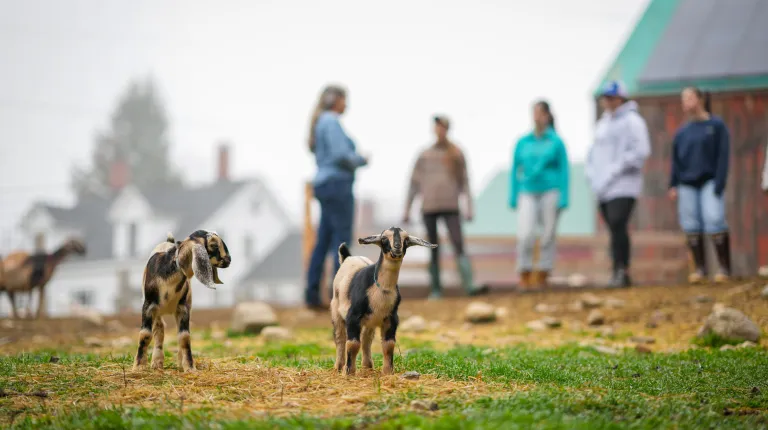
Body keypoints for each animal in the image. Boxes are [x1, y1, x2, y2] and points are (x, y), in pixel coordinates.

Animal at [133, 230, 231, 372]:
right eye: (214, 245)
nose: (228, 260)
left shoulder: (183, 308)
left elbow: (184, 337)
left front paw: (189, 367)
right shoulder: (149, 306)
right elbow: (145, 334)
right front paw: (139, 366)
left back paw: (176, 362)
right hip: (156, 310)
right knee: (159, 330)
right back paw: (157, 363)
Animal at [331, 227, 437, 376]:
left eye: (406, 239)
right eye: (384, 238)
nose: (397, 248)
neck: (382, 289)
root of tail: (348, 257)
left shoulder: (391, 318)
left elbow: (388, 345)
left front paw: (388, 372)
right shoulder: (353, 317)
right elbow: (352, 343)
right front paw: (349, 373)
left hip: (370, 321)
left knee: (366, 339)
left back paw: (368, 366)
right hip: (336, 310)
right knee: (340, 338)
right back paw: (338, 367)